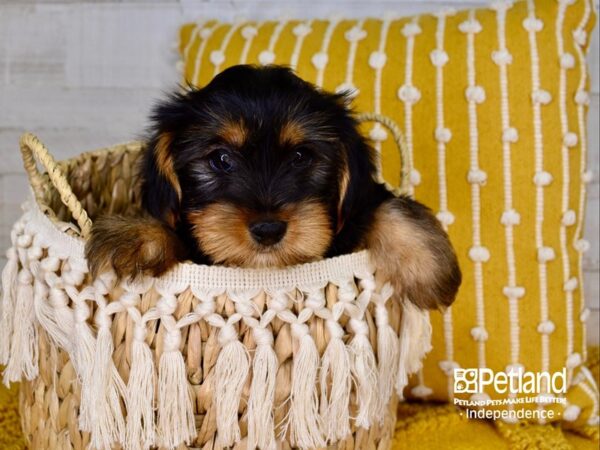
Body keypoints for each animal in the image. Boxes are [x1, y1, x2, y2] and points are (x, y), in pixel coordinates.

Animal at [85, 64, 460, 310]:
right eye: (221, 159)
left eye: (300, 156)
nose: (268, 229)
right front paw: (133, 236)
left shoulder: (358, 203)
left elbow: (385, 205)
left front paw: (432, 268)